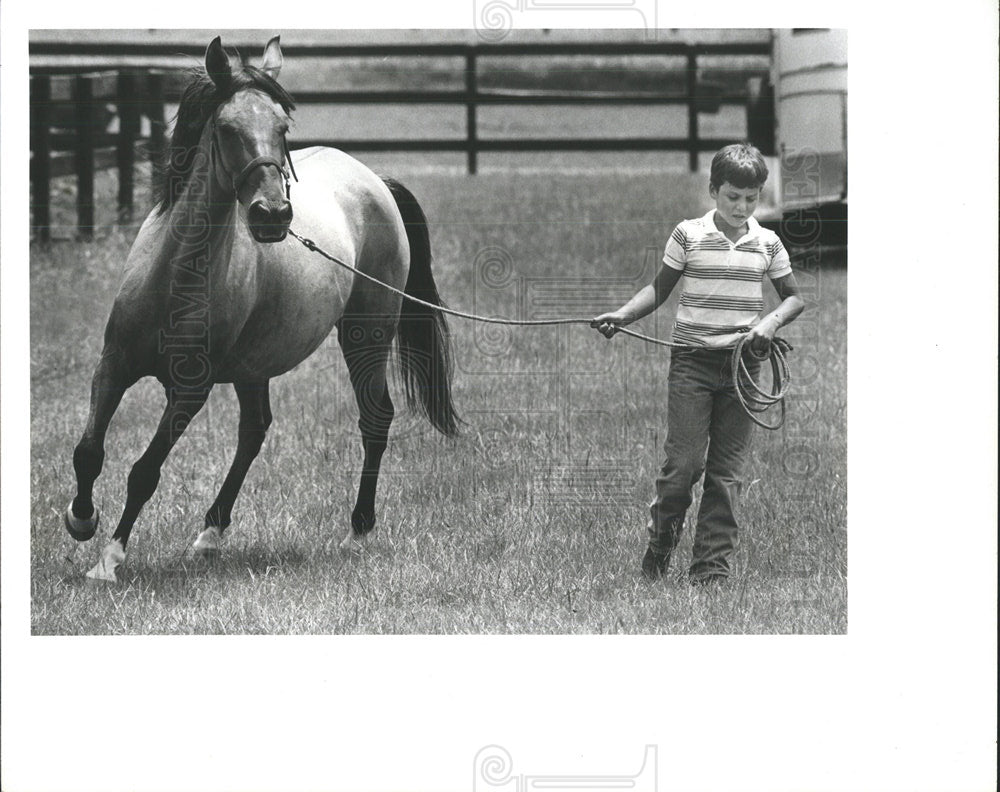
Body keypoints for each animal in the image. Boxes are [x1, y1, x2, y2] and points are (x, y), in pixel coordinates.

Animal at [67, 35, 460, 580]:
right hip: (256, 365)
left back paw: (358, 530)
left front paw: (110, 558)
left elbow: (144, 470)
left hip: (366, 334)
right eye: (227, 129)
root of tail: (374, 181)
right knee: (254, 430)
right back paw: (210, 535)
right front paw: (81, 520)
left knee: (375, 417)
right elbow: (89, 451)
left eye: (282, 128)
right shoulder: (114, 365)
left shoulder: (190, 390)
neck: (175, 273)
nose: (273, 215)